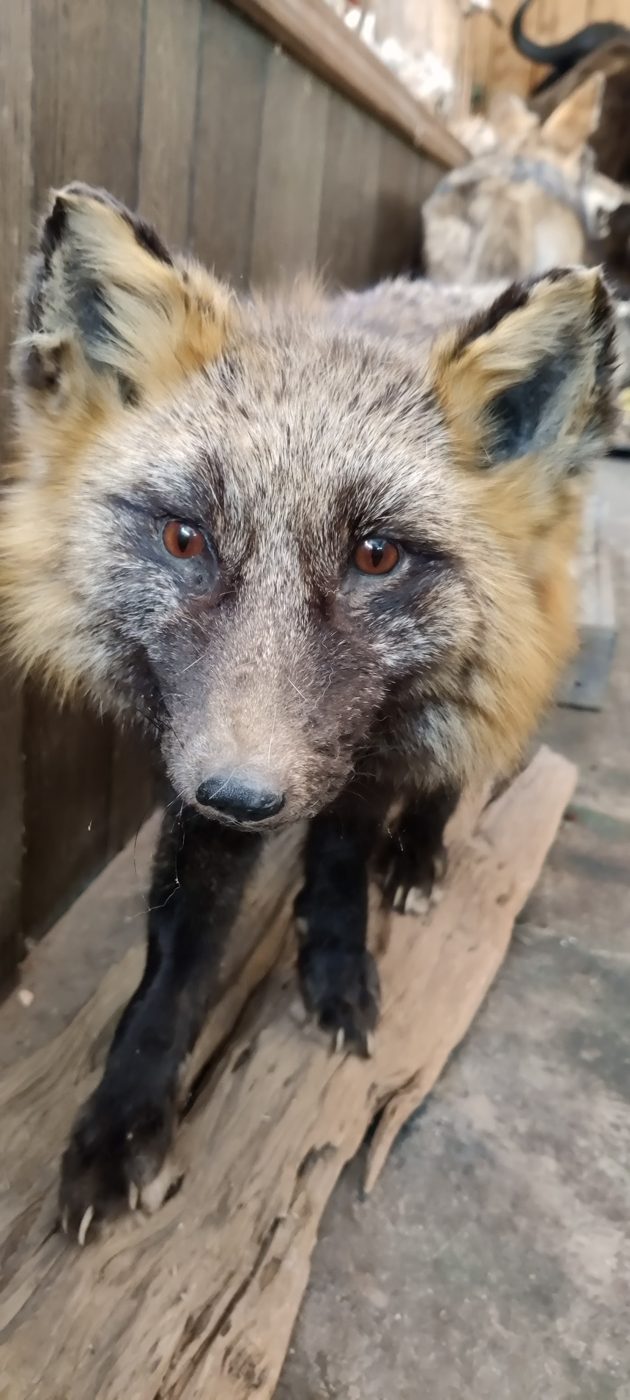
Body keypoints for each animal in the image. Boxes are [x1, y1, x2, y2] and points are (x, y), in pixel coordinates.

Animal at [0, 184, 617, 1242]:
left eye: (376, 556)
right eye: (185, 539)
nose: (244, 797)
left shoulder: (356, 751)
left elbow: (337, 861)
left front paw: (335, 963)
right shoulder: (197, 772)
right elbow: (176, 962)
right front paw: (124, 1120)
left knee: (460, 767)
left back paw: (418, 855)